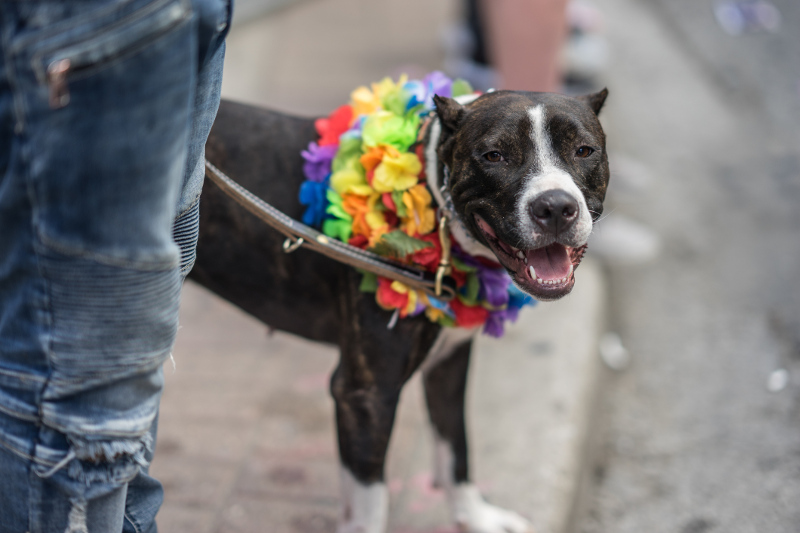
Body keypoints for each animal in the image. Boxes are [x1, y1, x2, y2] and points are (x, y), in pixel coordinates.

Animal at [191, 88, 608, 532]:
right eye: (494, 155)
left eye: (584, 150)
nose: (556, 207)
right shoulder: (367, 395)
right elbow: (370, 505)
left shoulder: (450, 363)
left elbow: (456, 447)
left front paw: (475, 518)